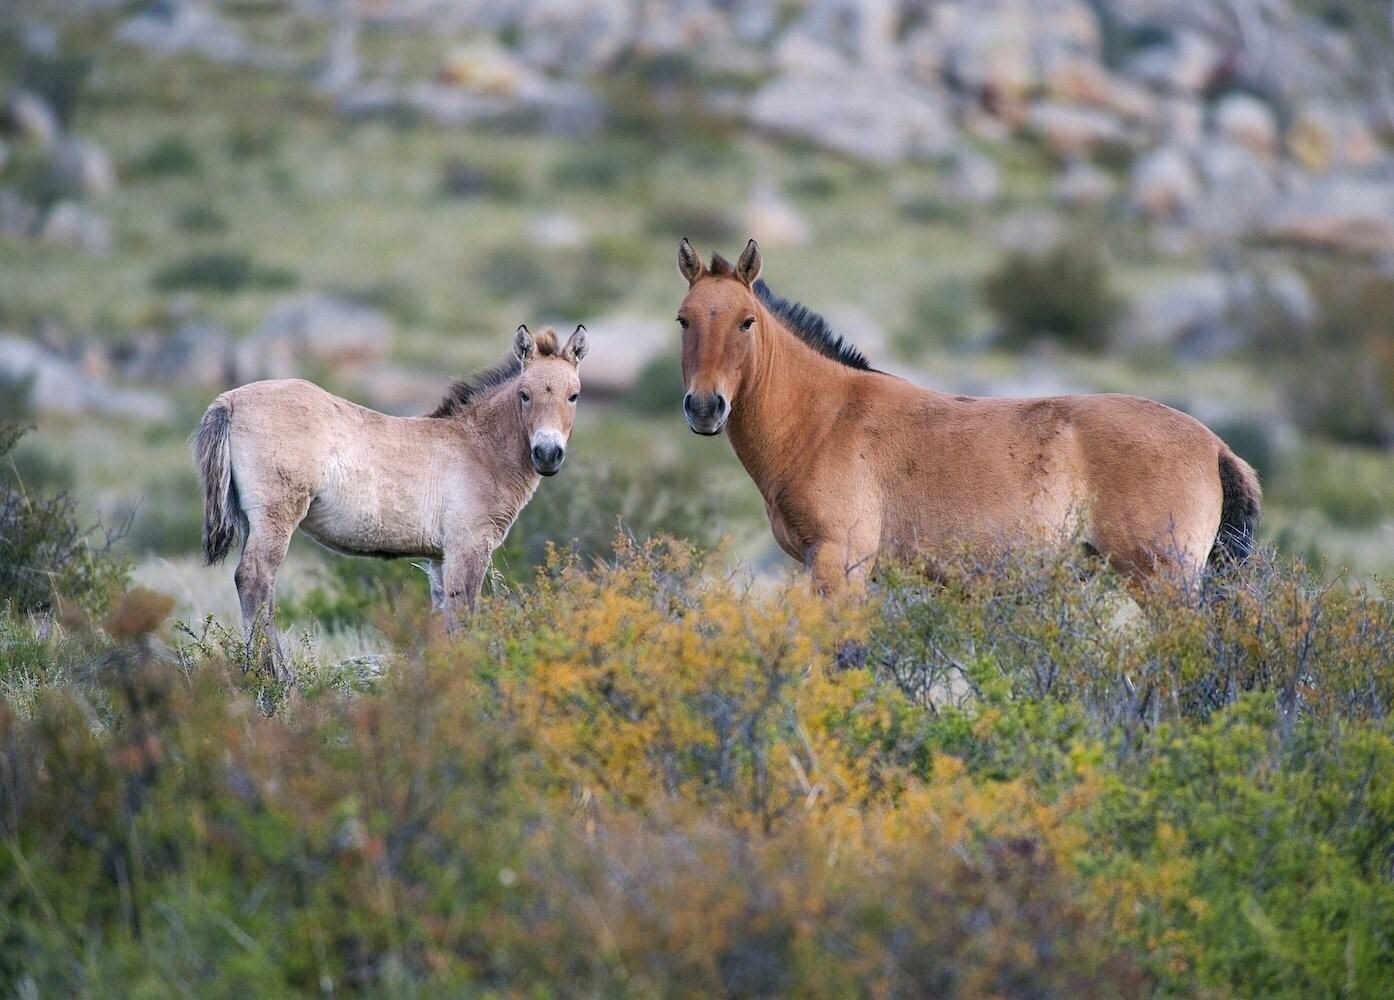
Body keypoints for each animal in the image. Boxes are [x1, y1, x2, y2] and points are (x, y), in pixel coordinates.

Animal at [674, 237, 1265, 588]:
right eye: (684, 319)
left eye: (747, 321)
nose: (705, 407)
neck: (822, 419)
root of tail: (1217, 448)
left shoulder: (841, 563)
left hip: (1163, 582)